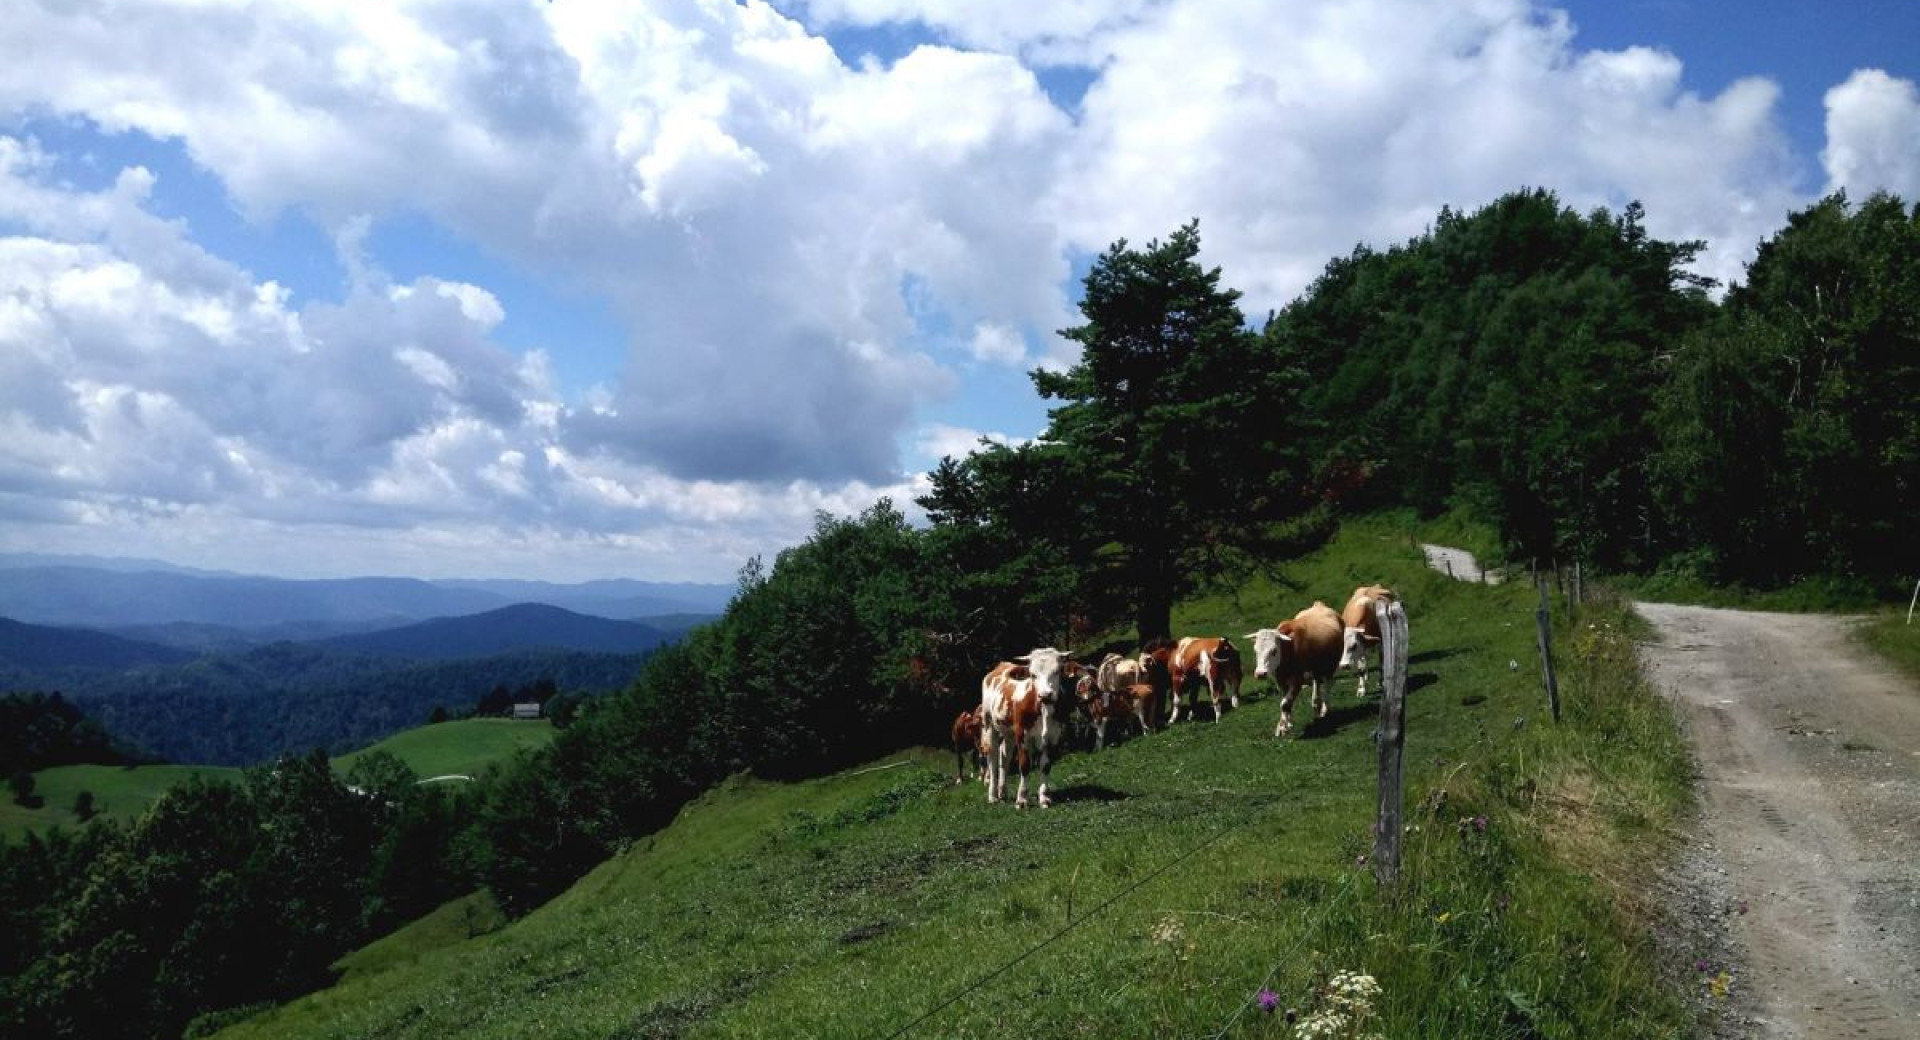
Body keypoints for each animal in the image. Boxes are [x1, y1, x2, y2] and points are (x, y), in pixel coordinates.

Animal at [983, 648, 1075, 809]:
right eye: (1033, 674)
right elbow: (1025, 765)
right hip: (989, 724)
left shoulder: (1053, 737)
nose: (1045, 695)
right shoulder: (1023, 736)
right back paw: (993, 795)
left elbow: (1045, 766)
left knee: (1004, 755)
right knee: (992, 757)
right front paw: (1022, 799)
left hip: (1009, 732)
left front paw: (1044, 798)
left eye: (1057, 671)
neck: (1043, 710)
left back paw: (1002, 792)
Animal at [1251, 602, 1344, 740]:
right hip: (1316, 668)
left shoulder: (1297, 681)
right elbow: (1286, 702)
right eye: (1255, 650)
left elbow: (1284, 704)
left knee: (1328, 685)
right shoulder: (1281, 681)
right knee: (1317, 682)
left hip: (1330, 666)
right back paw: (1316, 703)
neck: (1288, 650)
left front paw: (1283, 727)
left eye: (1274, 651)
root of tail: (1319, 604)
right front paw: (1285, 724)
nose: (1260, 674)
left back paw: (1325, 709)